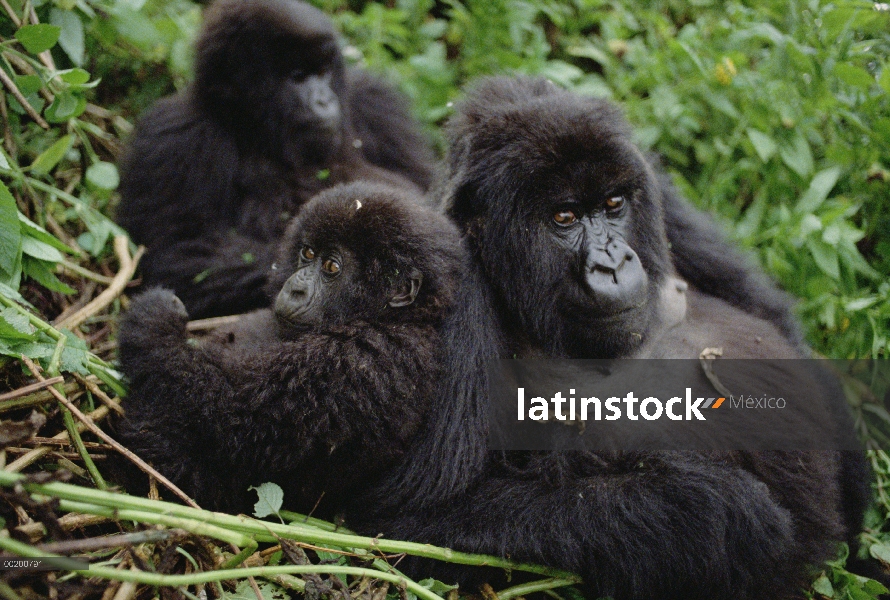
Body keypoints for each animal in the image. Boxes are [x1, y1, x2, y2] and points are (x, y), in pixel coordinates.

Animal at [114, 184, 462, 516]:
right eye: (307, 252)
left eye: (331, 266)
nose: (294, 288)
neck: (393, 317)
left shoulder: (368, 359)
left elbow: (231, 416)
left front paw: (154, 322)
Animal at [115, 0, 438, 318]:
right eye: (298, 77)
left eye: (323, 72)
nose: (325, 100)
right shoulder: (173, 135)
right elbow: (177, 255)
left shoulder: (378, 104)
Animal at [348, 77, 868, 596]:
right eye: (564, 217)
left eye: (614, 205)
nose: (613, 263)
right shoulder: (451, 281)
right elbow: (411, 522)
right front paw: (720, 511)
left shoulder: (658, 188)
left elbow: (769, 315)